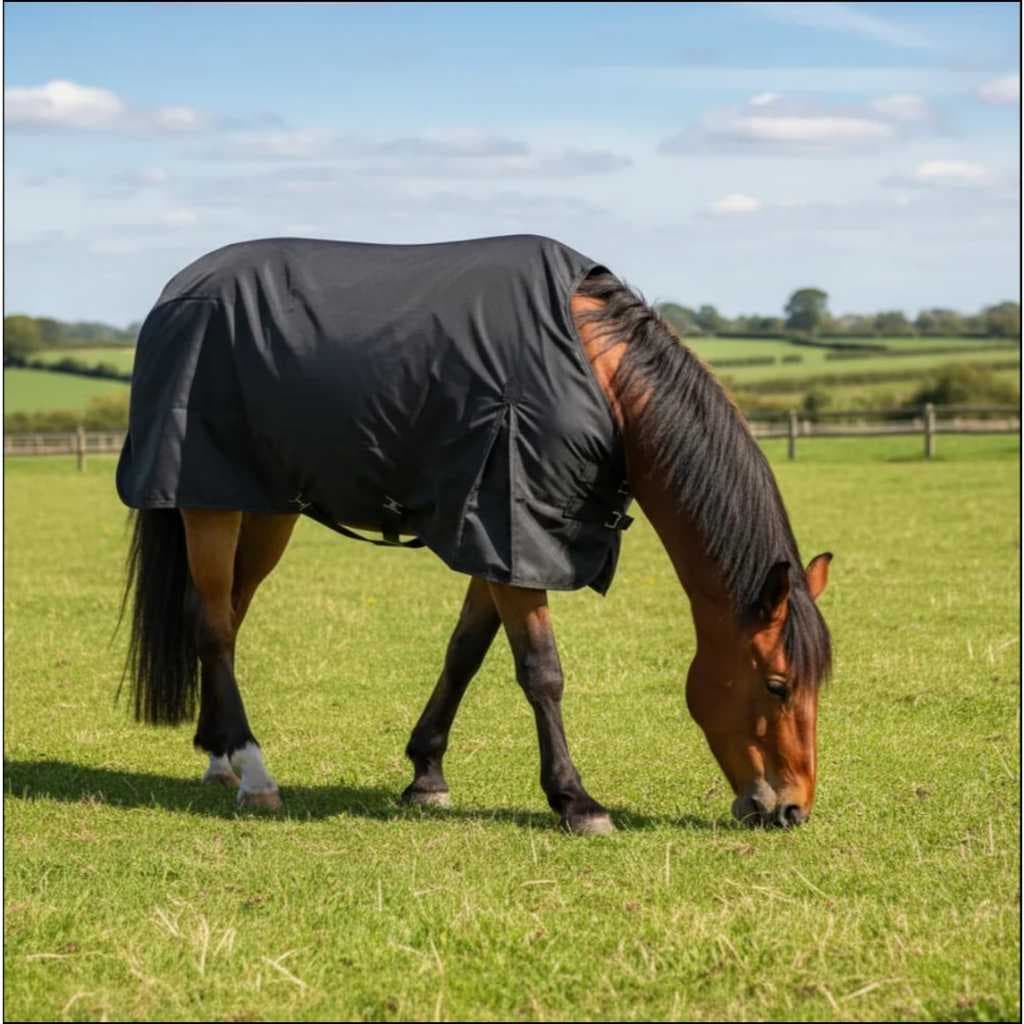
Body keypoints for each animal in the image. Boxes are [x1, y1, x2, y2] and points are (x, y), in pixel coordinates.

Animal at [118, 234, 832, 834]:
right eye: (777, 685)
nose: (791, 809)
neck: (599, 380)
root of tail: (177, 295)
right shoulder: (515, 527)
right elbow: (542, 671)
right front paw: (575, 800)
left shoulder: (501, 541)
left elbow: (464, 653)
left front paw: (426, 775)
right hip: (208, 502)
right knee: (214, 625)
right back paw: (253, 771)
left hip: (265, 507)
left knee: (225, 617)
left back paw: (219, 757)